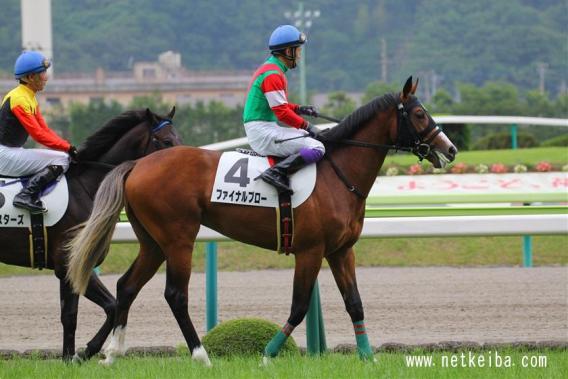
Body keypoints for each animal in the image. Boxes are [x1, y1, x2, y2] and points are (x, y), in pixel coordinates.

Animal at [0, 107, 181, 362]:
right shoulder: (68, 264)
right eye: (165, 141)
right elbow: (72, 315)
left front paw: (85, 351)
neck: (86, 187)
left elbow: (110, 306)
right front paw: (72, 356)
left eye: (179, 138)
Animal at [66, 77, 458, 366]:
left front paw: (368, 357)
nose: (451, 149)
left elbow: (354, 302)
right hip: (179, 238)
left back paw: (111, 354)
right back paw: (201, 356)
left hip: (153, 241)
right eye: (419, 113)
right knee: (175, 294)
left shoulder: (341, 250)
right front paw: (268, 355)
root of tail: (137, 164)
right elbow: (299, 306)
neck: (337, 174)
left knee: (127, 287)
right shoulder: (310, 250)